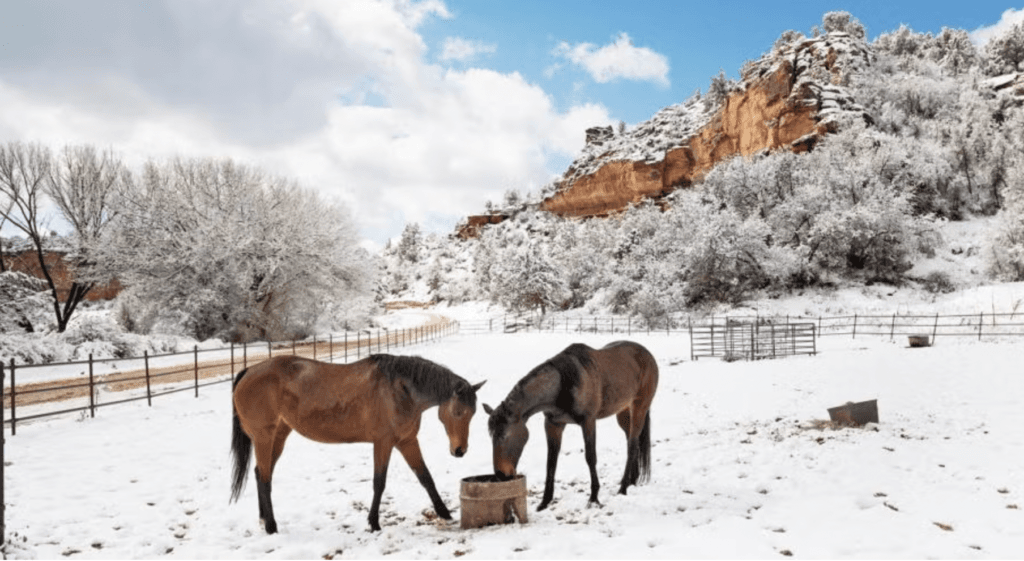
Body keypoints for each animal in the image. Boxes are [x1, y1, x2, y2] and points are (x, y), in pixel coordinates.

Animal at [229, 354, 485, 533]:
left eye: (473, 413)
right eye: (458, 412)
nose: (460, 450)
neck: (399, 390)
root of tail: (249, 371)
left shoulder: (407, 441)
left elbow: (425, 477)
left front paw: (445, 513)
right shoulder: (383, 442)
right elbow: (379, 483)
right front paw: (373, 523)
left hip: (279, 435)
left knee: (260, 473)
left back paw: (264, 519)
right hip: (264, 437)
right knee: (264, 478)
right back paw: (271, 526)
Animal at [483, 341, 658, 511]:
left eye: (505, 436)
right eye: (491, 437)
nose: (501, 474)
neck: (562, 384)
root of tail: (648, 355)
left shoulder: (588, 421)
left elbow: (590, 457)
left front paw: (594, 498)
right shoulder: (553, 424)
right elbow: (551, 461)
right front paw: (545, 501)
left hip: (639, 408)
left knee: (632, 445)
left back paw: (623, 488)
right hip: (623, 412)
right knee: (632, 442)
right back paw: (631, 480)